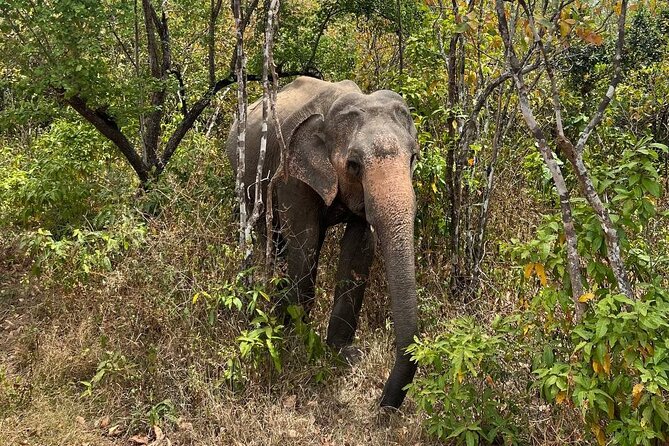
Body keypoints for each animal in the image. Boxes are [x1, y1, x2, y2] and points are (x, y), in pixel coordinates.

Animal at [225, 76, 419, 408]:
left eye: (413, 158)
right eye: (354, 165)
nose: (382, 405)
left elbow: (359, 249)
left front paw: (344, 354)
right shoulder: (292, 173)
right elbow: (304, 244)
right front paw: (298, 347)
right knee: (274, 240)